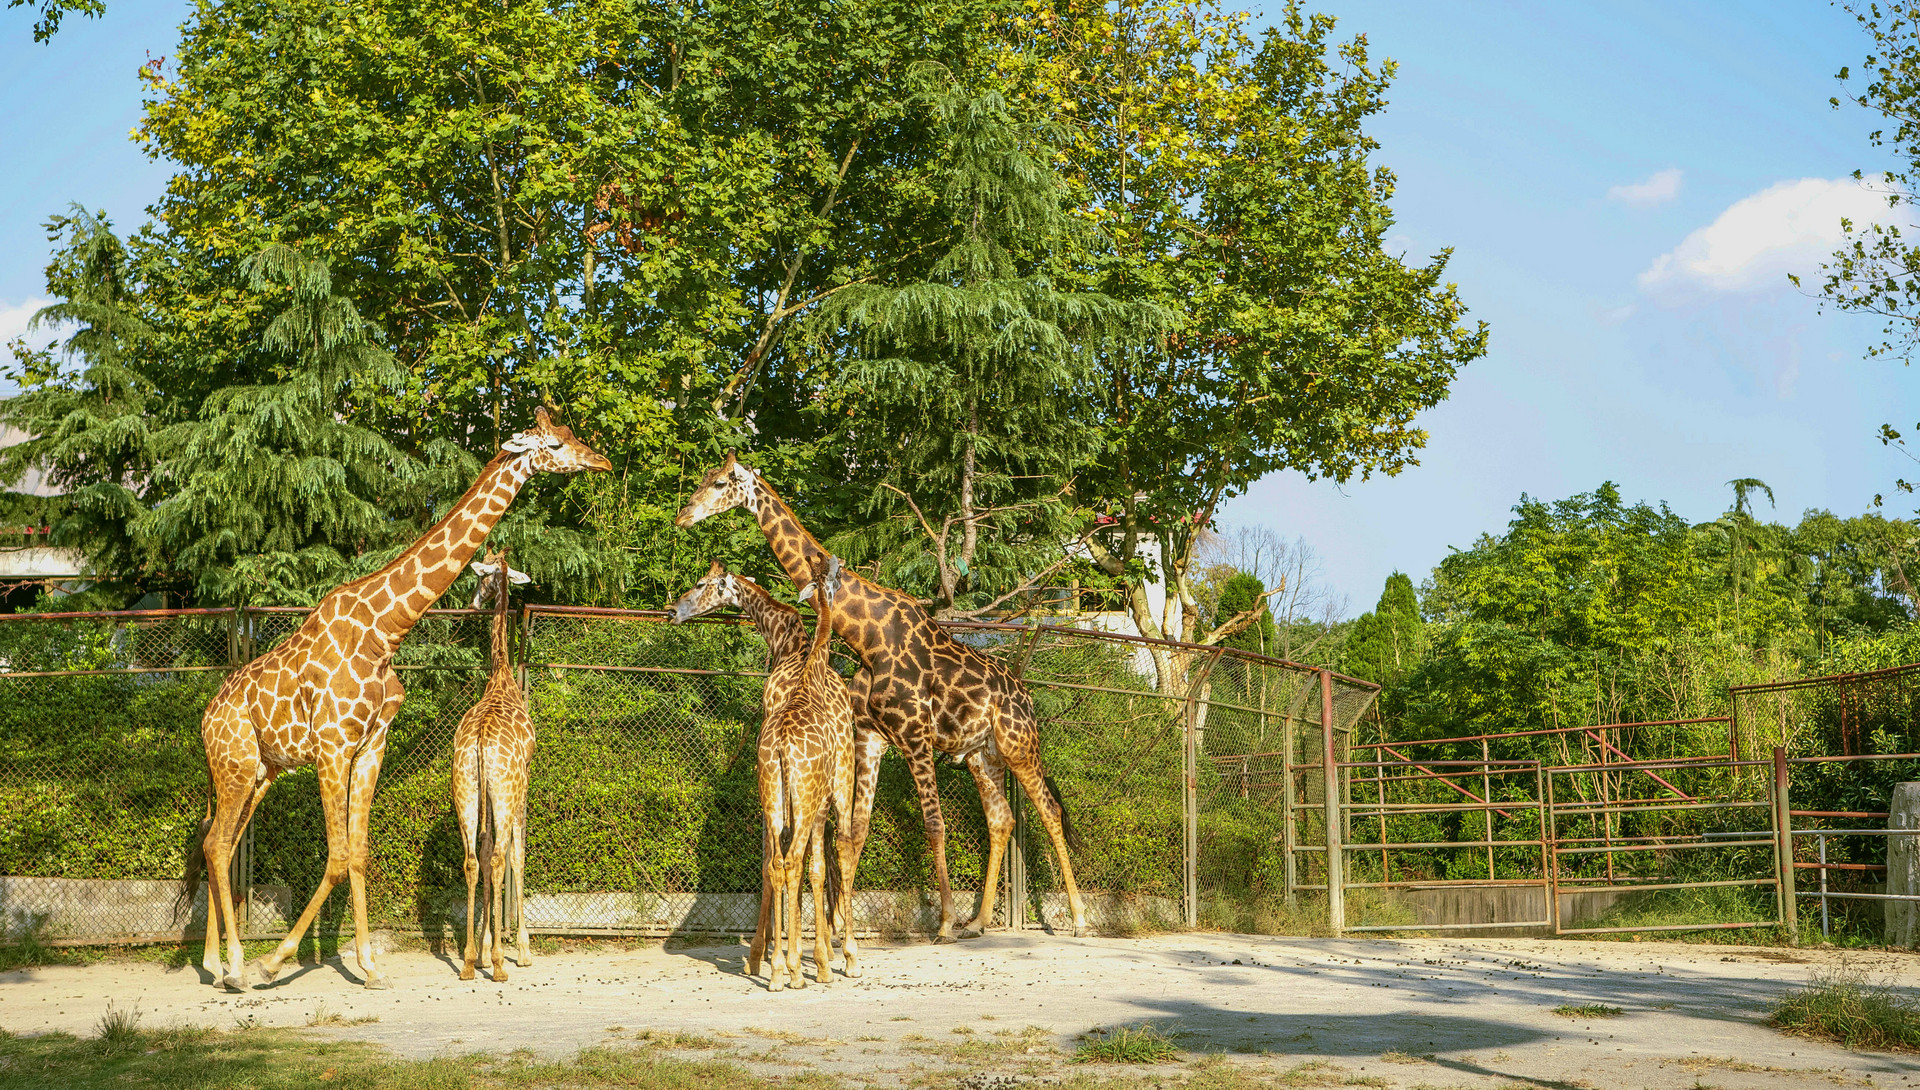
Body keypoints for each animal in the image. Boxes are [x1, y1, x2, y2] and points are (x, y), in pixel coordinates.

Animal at [181, 406, 606, 990]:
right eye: (555, 444)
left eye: (570, 436)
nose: (600, 460)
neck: (386, 630)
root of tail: (207, 715)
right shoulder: (332, 747)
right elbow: (338, 856)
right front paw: (277, 960)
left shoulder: (369, 747)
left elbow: (358, 853)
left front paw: (368, 965)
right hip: (237, 765)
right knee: (218, 843)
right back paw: (241, 966)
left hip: (258, 772)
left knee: (213, 842)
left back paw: (214, 963)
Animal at [668, 560, 864, 978]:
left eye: (700, 584)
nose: (672, 610)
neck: (789, 645)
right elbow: (803, 863)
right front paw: (792, 952)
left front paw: (777, 952)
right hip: (811, 789)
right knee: (817, 853)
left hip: (805, 787)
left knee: (802, 857)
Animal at [679, 450, 1098, 936]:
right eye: (704, 478)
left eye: (721, 482)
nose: (683, 513)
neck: (868, 638)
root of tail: (1025, 695)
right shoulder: (870, 738)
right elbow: (855, 831)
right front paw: (841, 923)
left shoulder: (915, 735)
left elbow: (933, 823)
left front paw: (943, 922)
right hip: (982, 753)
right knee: (1001, 819)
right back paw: (979, 922)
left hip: (1018, 743)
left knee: (1048, 810)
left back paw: (1078, 918)